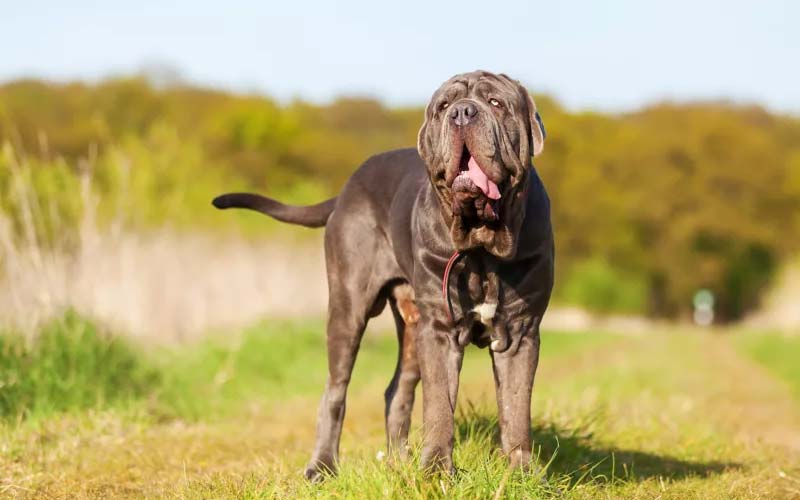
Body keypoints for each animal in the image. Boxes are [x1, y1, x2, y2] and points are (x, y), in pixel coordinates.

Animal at [209, 69, 552, 480]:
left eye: (496, 103)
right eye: (444, 106)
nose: (463, 113)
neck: (482, 244)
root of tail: (346, 189)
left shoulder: (519, 331)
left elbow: (516, 408)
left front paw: (521, 473)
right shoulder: (439, 331)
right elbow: (439, 406)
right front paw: (437, 472)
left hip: (412, 328)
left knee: (397, 390)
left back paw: (399, 462)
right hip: (349, 308)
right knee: (335, 389)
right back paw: (322, 466)